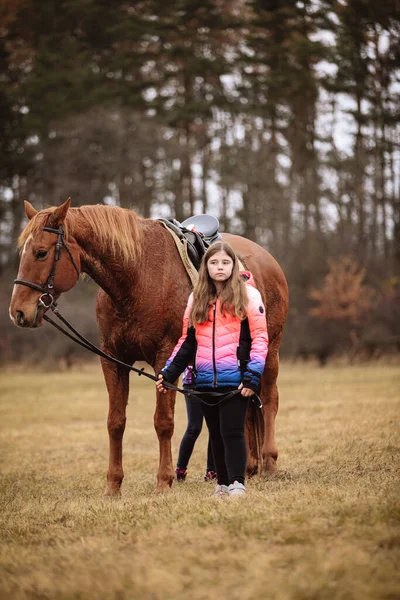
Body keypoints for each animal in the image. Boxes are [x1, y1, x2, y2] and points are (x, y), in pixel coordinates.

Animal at [8, 199, 288, 494]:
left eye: (41, 253)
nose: (18, 312)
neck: (136, 276)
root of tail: (268, 260)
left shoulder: (165, 357)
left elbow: (163, 421)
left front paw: (163, 482)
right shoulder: (112, 359)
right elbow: (115, 422)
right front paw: (113, 486)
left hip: (269, 352)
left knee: (269, 400)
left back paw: (269, 462)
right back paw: (249, 467)